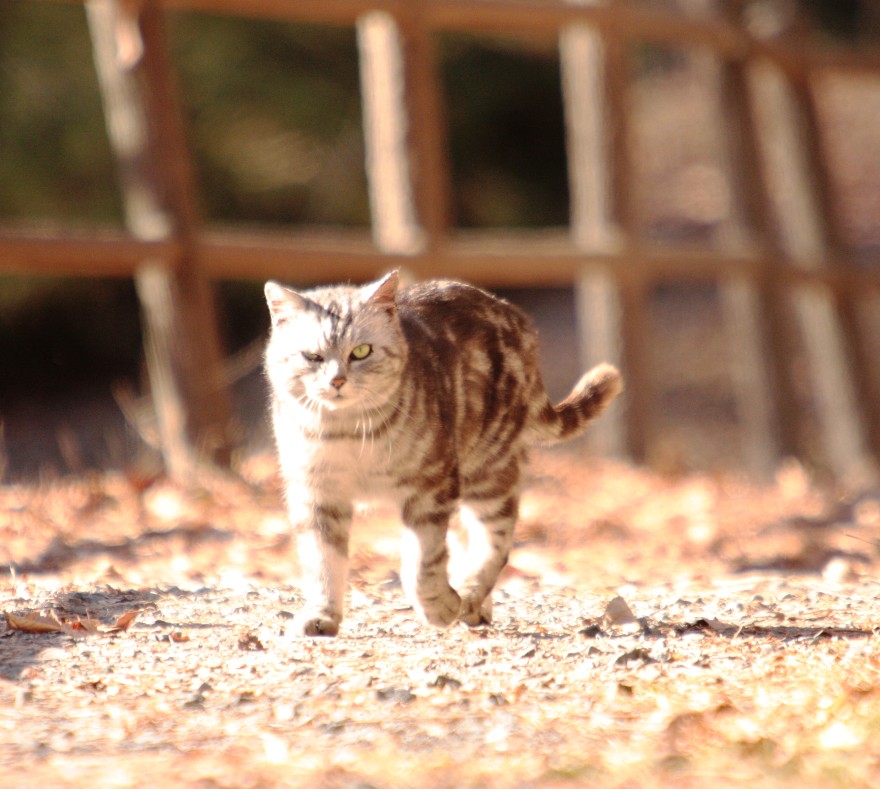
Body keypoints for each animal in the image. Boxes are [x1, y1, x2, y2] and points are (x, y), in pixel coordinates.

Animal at [264, 270, 624, 636]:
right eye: (312, 357)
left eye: (361, 352)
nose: (337, 381)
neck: (347, 433)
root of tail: (514, 314)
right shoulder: (316, 494)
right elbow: (322, 562)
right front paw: (321, 616)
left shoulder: (430, 485)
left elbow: (423, 562)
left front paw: (440, 606)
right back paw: (475, 607)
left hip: (489, 470)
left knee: (494, 540)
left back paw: (468, 596)